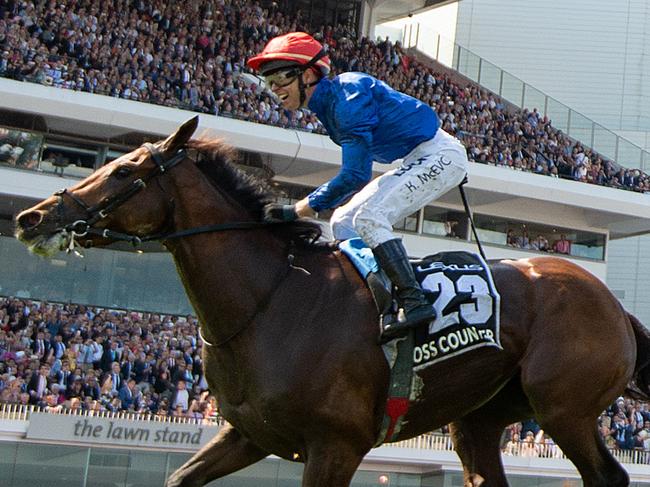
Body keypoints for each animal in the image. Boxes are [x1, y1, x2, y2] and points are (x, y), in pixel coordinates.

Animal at [11, 116, 648, 486]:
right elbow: (177, 479)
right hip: (480, 420)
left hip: (563, 408)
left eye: (124, 172)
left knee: (606, 478)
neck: (272, 300)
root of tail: (615, 304)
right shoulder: (249, 433)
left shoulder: (336, 445)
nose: (32, 217)